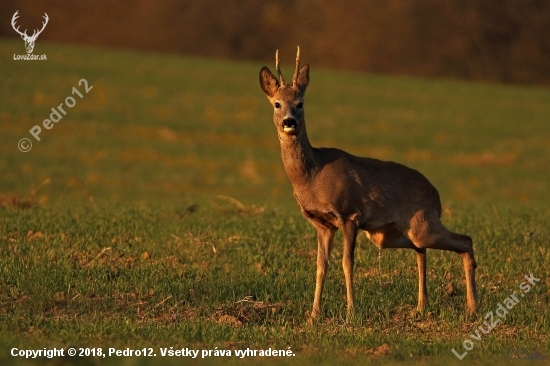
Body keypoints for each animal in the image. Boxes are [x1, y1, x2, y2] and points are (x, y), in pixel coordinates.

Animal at [258, 47, 478, 318]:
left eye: (300, 103)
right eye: (277, 104)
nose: (289, 122)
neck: (312, 175)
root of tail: (435, 193)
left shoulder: (349, 214)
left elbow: (347, 263)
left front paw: (351, 311)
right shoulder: (322, 224)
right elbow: (321, 265)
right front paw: (314, 314)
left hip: (422, 225)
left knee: (465, 240)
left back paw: (472, 307)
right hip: (393, 234)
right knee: (422, 250)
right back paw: (421, 306)